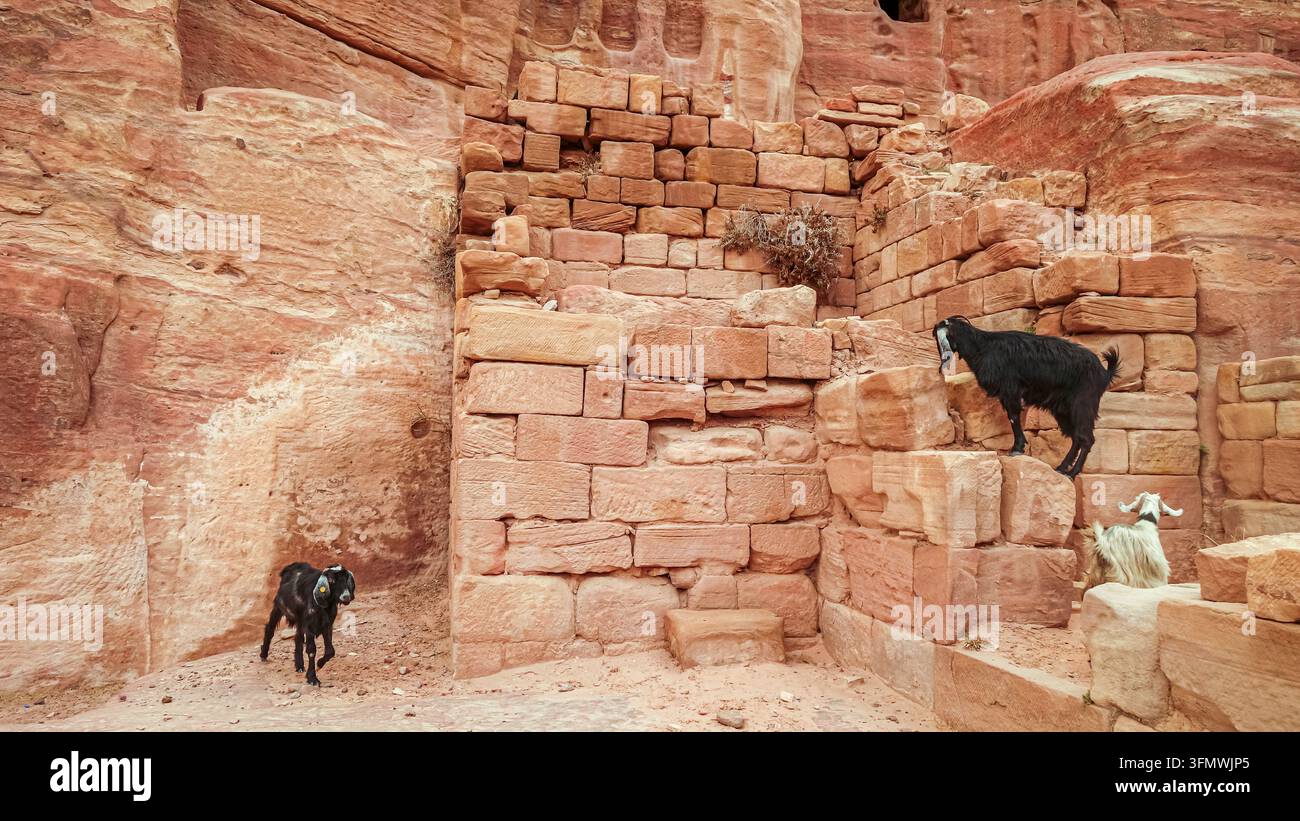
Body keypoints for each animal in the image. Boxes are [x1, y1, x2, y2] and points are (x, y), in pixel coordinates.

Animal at [933, 316, 1120, 477]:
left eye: (944, 335)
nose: (945, 360)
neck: (983, 347)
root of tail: (1104, 373)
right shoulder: (1007, 394)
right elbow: (1013, 418)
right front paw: (1018, 447)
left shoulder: (1010, 390)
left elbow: (1013, 417)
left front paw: (1016, 448)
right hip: (1063, 410)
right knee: (1076, 437)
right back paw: (1061, 467)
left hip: (1083, 404)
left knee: (1086, 438)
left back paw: (1071, 473)